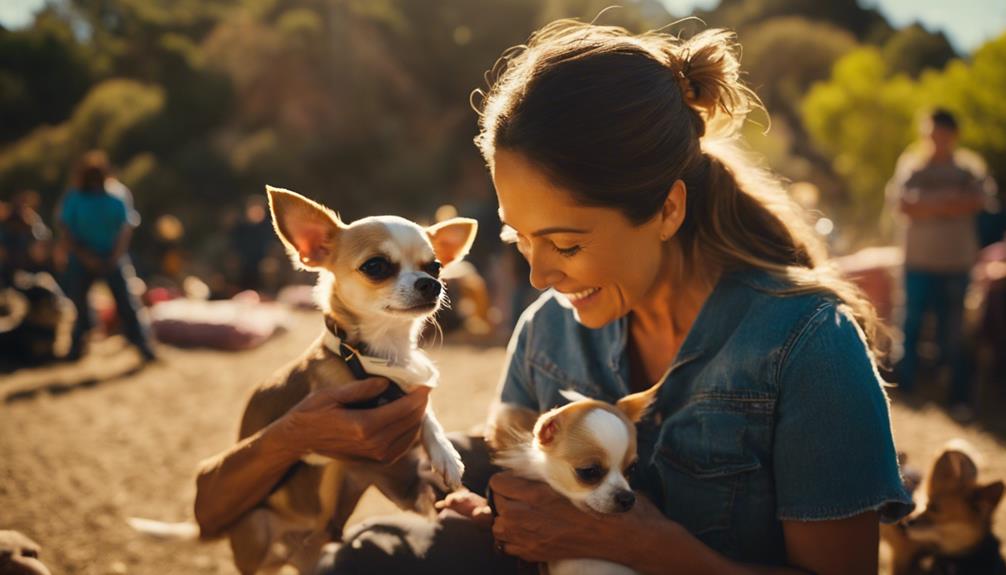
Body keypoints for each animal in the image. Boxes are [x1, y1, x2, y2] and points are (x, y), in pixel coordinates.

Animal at [225, 185, 478, 570]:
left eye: (435, 266)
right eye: (375, 266)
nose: (430, 284)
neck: (383, 352)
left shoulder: (412, 389)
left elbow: (425, 412)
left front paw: (446, 454)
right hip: (256, 527)